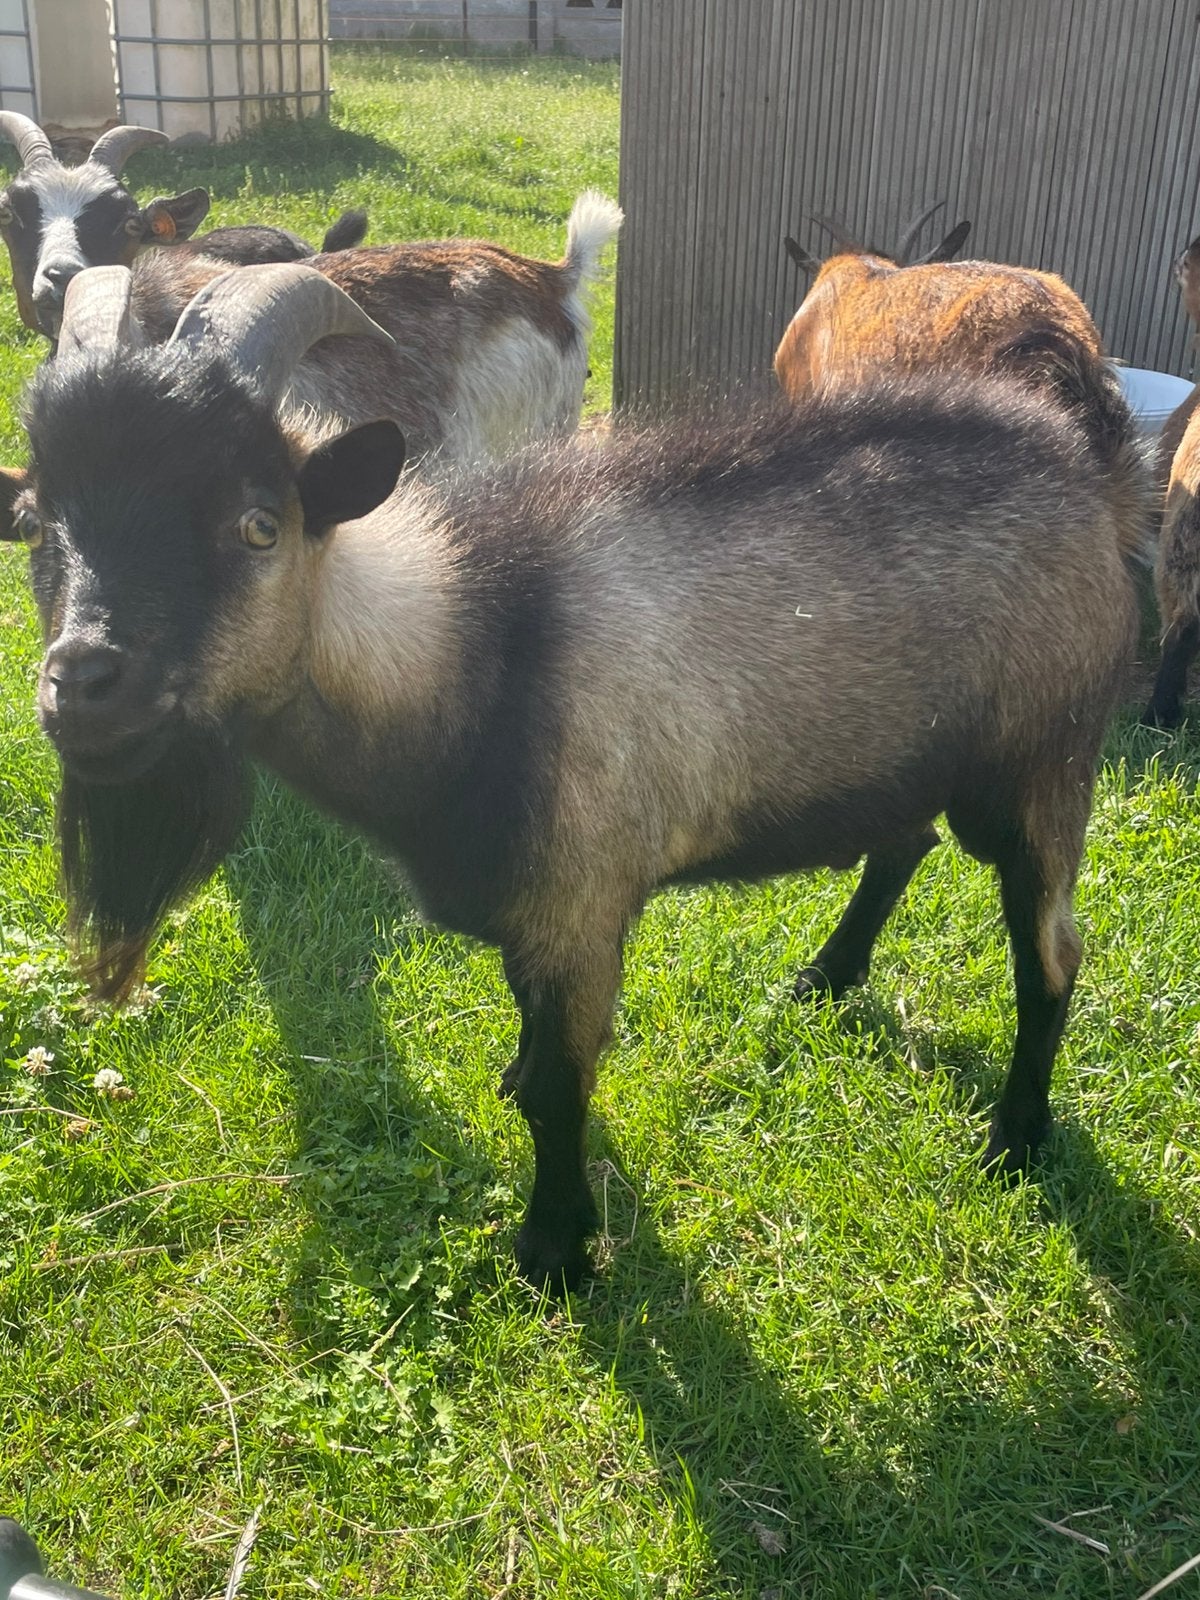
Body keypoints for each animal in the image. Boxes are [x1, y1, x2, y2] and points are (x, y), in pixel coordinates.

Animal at [1, 262, 1143, 1290]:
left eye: (258, 524)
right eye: (42, 526)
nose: (82, 686)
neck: (473, 649)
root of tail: (1077, 455)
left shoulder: (581, 901)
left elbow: (565, 1086)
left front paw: (555, 1249)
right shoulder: (533, 909)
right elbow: (532, 1042)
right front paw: (518, 1100)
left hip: (1043, 758)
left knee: (1053, 950)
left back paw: (1015, 1137)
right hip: (903, 750)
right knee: (904, 840)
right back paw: (828, 974)